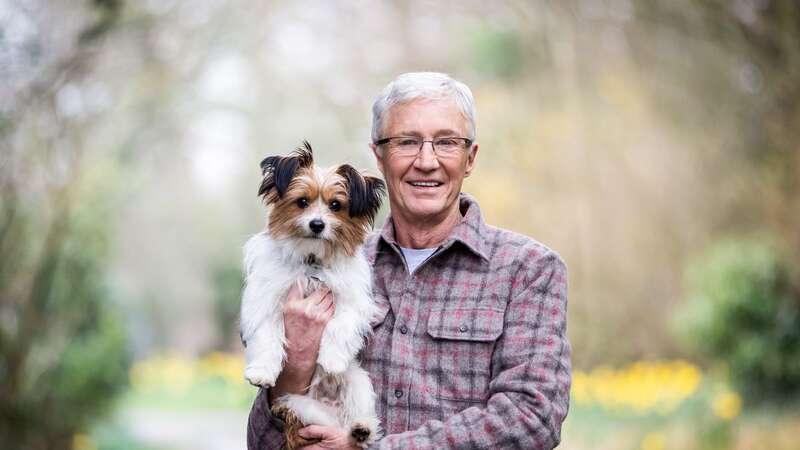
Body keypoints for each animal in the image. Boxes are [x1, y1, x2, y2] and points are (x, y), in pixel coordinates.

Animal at [241, 142, 384, 448]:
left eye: (335, 205)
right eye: (302, 202)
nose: (317, 224)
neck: (312, 262)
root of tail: (328, 404)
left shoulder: (353, 303)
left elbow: (340, 325)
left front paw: (331, 360)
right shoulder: (267, 301)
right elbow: (268, 336)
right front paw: (261, 371)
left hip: (358, 381)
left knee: (358, 416)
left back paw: (362, 428)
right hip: (299, 404)